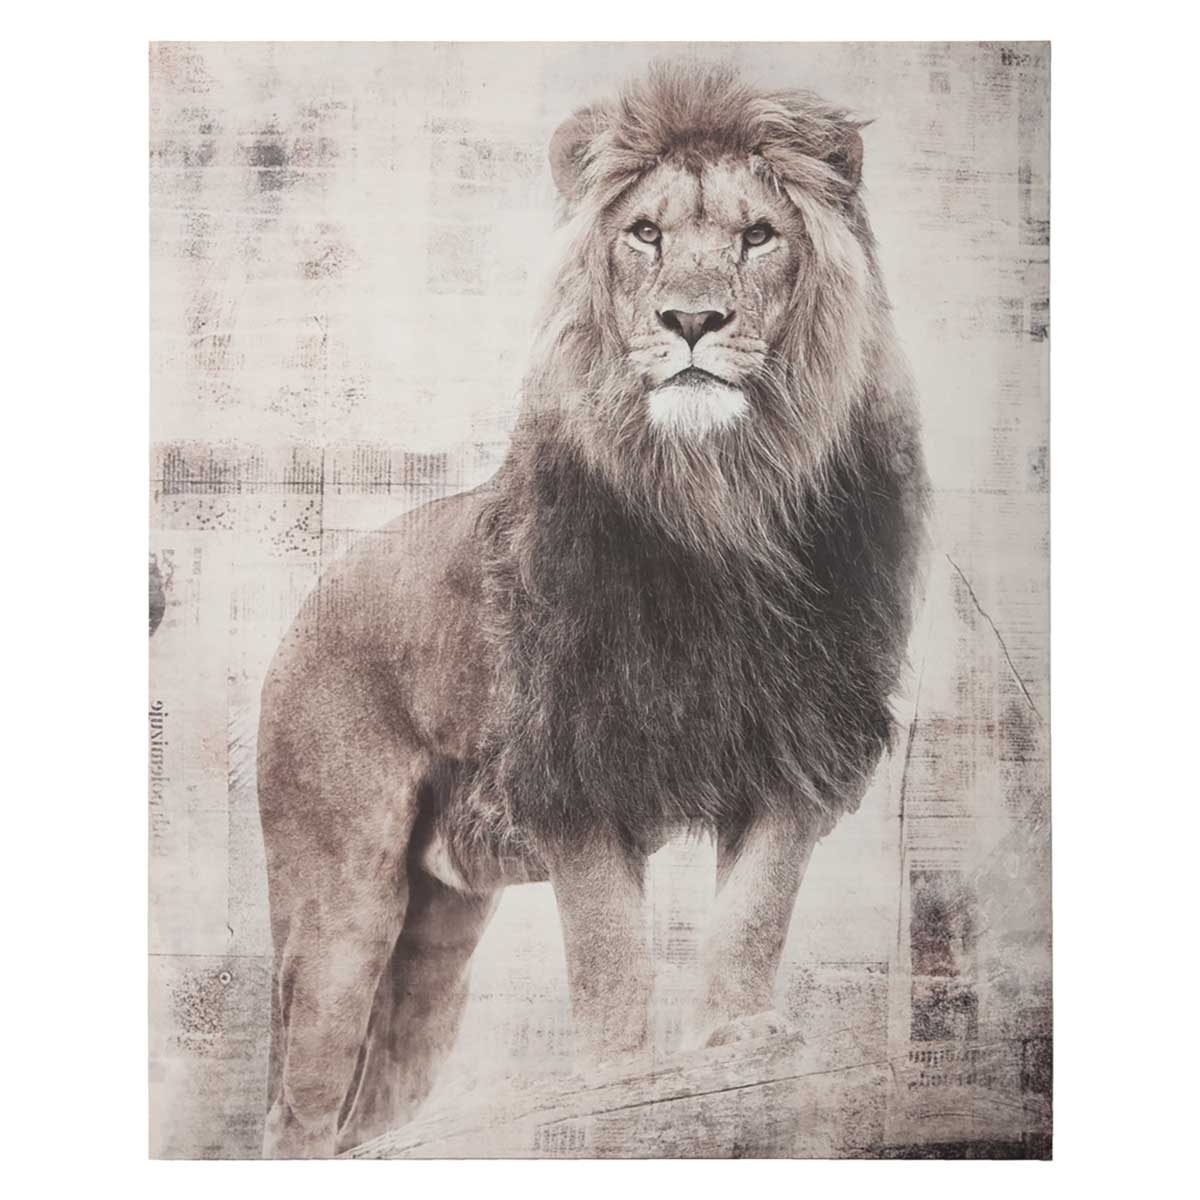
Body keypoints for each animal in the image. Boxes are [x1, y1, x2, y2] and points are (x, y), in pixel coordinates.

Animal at [257, 63, 927, 1157]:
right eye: (645, 233)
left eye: (758, 236)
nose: (691, 322)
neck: (717, 497)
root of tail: (320, 585)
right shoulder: (577, 765)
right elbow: (611, 956)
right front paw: (618, 1079)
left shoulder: (798, 746)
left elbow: (750, 916)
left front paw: (740, 1041)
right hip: (340, 900)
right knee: (298, 1106)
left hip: (433, 946)